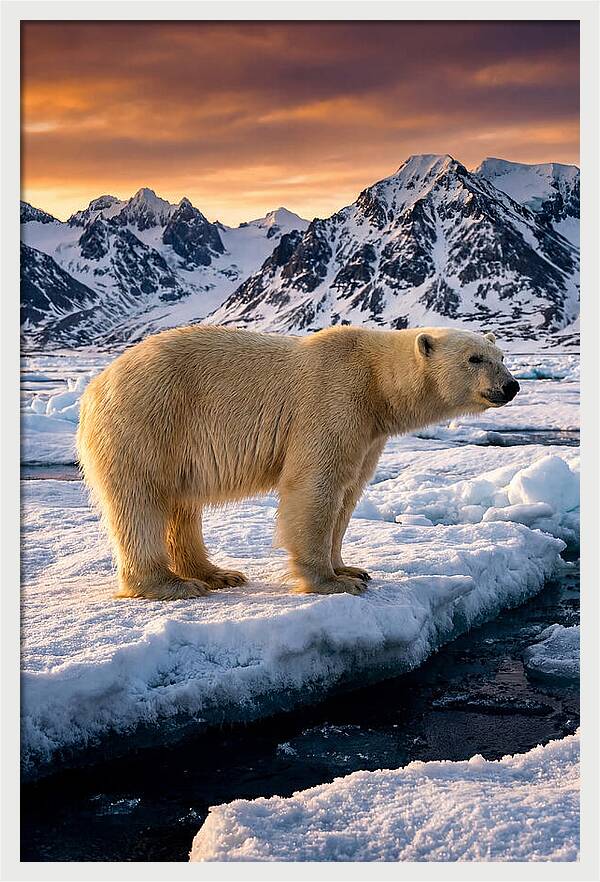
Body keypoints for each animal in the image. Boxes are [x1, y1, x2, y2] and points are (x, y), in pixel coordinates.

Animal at [77, 324, 519, 600]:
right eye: (475, 358)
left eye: (501, 355)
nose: (511, 385)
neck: (376, 382)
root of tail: (96, 385)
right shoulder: (334, 399)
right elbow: (315, 486)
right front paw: (331, 582)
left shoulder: (368, 433)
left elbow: (348, 493)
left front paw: (350, 569)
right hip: (149, 419)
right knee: (141, 500)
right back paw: (170, 584)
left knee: (182, 505)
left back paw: (216, 573)